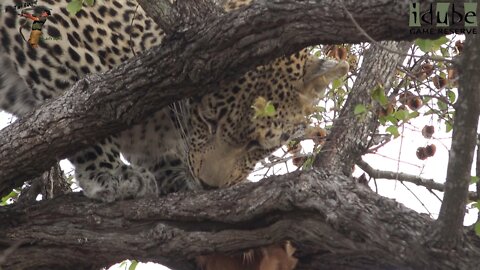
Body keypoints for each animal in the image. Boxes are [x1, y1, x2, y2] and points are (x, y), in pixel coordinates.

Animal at [0, 0, 346, 202]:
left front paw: (172, 172)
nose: (209, 186)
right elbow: (76, 106)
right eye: (208, 120)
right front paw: (111, 174)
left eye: (258, 144)